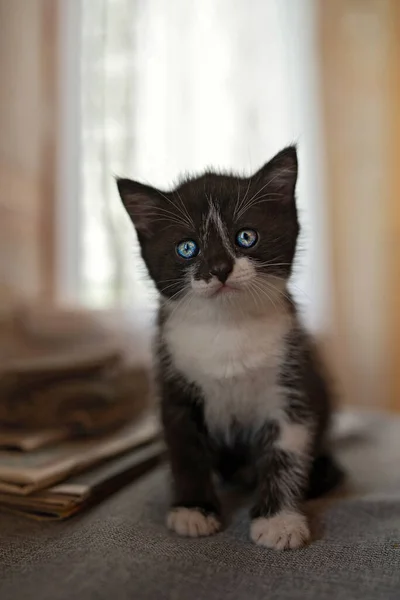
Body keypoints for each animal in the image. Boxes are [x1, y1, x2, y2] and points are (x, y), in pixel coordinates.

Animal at [116, 145, 340, 548]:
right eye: (187, 247)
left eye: (246, 237)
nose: (220, 268)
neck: (227, 327)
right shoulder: (173, 385)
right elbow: (185, 451)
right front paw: (193, 510)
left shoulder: (291, 380)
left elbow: (286, 451)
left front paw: (278, 520)